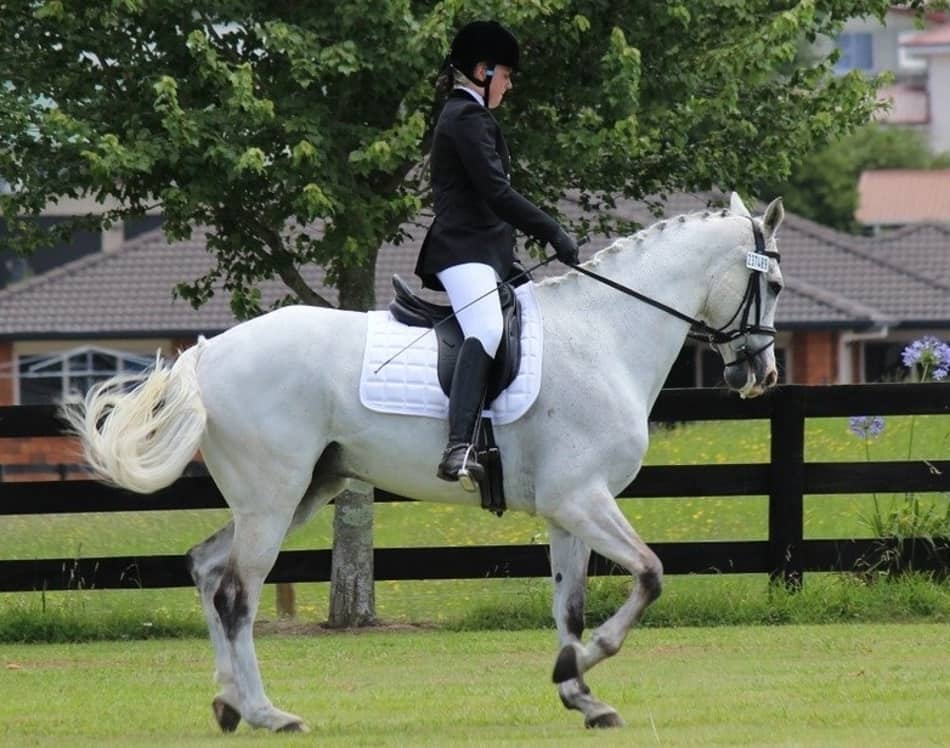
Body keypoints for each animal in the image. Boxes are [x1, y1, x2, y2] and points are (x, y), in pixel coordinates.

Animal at [63, 192, 785, 732]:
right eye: (772, 283)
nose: (762, 375)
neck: (604, 333)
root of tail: (210, 352)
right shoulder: (583, 499)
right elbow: (651, 575)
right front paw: (583, 668)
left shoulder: (568, 509)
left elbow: (571, 605)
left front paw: (579, 691)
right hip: (273, 498)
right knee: (236, 594)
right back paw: (271, 714)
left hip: (300, 492)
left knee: (207, 569)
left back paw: (228, 703)